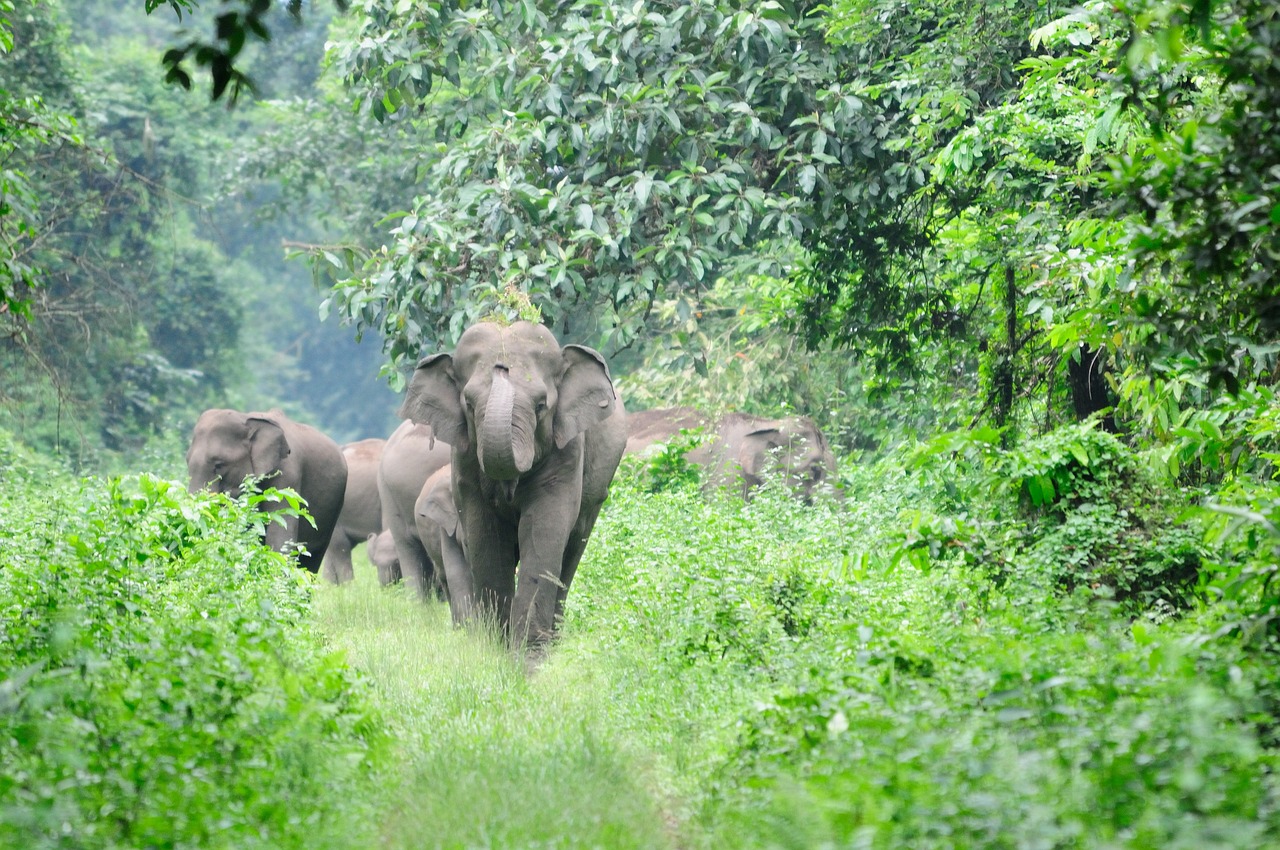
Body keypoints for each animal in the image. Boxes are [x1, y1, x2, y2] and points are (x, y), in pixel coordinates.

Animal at [396, 322, 622, 647]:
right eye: (468, 404)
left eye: (541, 406)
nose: (501, 366)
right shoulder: (464, 460)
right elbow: (485, 538)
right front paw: (497, 648)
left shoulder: (567, 452)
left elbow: (543, 534)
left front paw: (529, 653)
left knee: (571, 554)